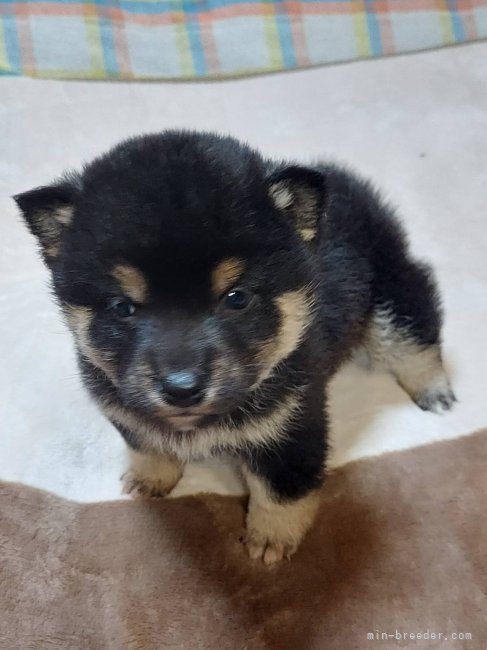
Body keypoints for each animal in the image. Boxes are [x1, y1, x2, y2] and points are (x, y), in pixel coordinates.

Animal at [15, 130, 458, 560]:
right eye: (122, 307)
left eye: (236, 298)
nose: (182, 388)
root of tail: (350, 187)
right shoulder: (128, 412)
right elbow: (147, 445)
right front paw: (151, 477)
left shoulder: (293, 426)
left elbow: (281, 493)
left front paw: (271, 539)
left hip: (390, 292)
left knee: (415, 335)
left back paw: (434, 389)